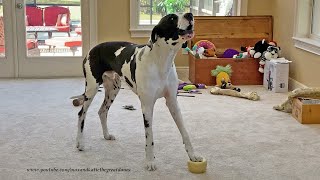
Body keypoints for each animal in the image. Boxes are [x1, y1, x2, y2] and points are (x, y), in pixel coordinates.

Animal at [73, 12, 202, 170]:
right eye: (172, 18)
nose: (190, 14)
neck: (160, 62)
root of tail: (92, 50)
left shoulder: (173, 103)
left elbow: (185, 132)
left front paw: (193, 155)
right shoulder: (147, 106)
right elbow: (149, 136)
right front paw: (150, 161)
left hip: (113, 90)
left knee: (102, 111)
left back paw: (106, 135)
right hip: (91, 89)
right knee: (81, 114)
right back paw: (80, 143)